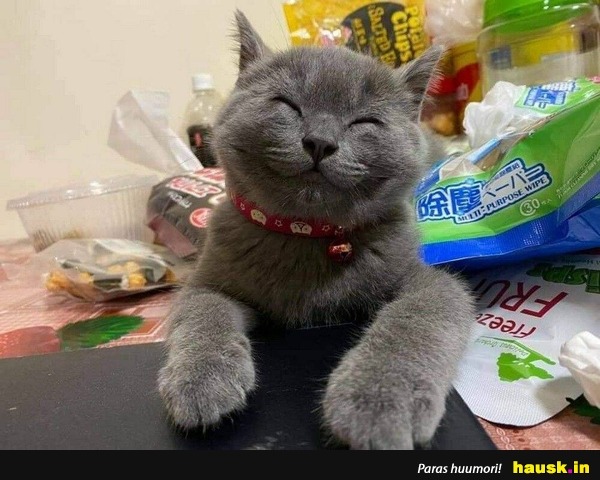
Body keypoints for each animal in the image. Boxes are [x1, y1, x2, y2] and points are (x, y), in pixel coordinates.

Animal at [158, 11, 475, 450]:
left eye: (365, 121)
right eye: (286, 104)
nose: (320, 141)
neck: (305, 233)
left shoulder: (429, 280)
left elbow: (418, 317)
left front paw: (377, 400)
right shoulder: (206, 281)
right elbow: (202, 312)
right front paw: (201, 381)